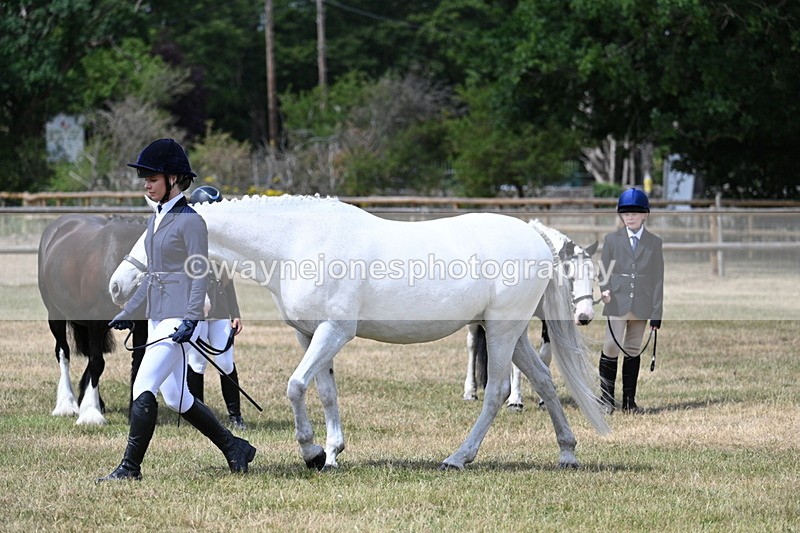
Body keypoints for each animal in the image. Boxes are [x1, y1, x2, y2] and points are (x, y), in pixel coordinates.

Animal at [38, 214, 148, 425]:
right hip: (55, 316)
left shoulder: (141, 327)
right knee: (63, 353)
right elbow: (97, 363)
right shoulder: (96, 323)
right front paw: (91, 414)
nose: (118, 287)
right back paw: (67, 405)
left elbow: (138, 365)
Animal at [463, 220, 598, 410]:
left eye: (593, 277)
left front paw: (543, 400)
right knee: (472, 345)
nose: (584, 316)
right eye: (570, 276)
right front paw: (515, 401)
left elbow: (544, 355)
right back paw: (470, 391)